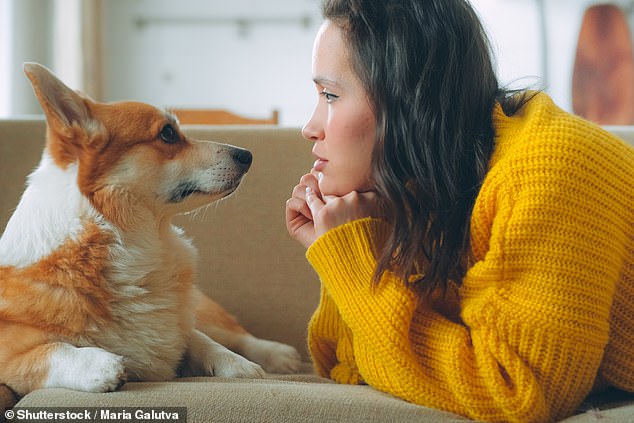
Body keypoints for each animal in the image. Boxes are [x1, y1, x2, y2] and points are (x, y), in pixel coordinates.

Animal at [0, 63, 302, 398]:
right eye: (168, 133)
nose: (248, 155)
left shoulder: (181, 324)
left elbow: (200, 339)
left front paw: (240, 366)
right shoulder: (12, 350)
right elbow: (53, 352)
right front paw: (101, 365)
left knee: (232, 333)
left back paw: (278, 355)